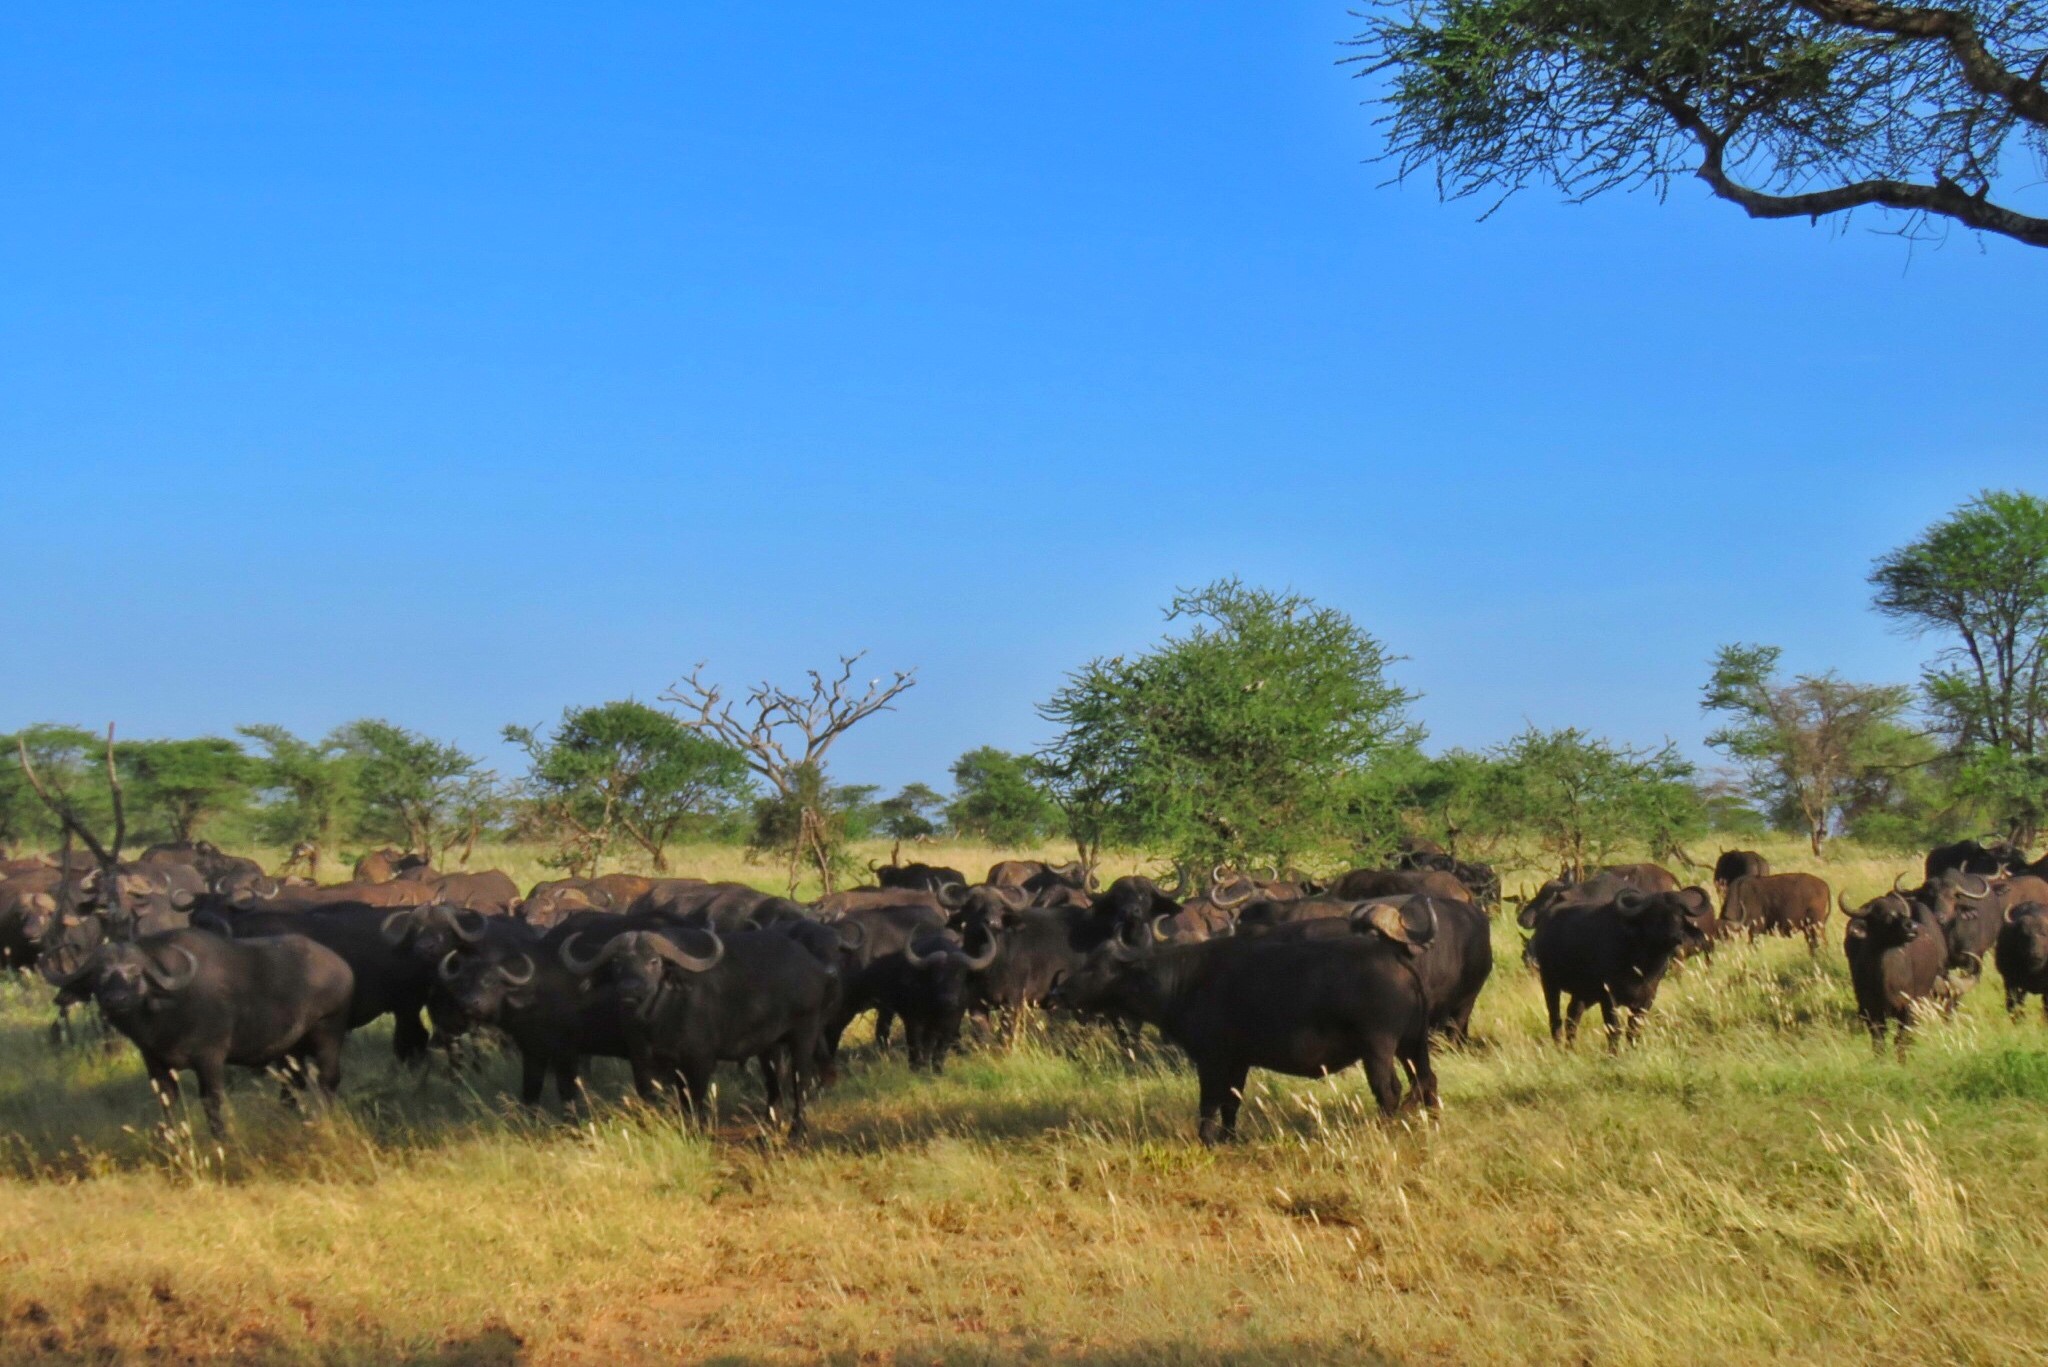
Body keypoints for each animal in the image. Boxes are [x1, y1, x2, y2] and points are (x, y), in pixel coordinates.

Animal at [41, 930, 354, 1131]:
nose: (115, 1000)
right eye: (99, 974)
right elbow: (167, 1104)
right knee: (291, 1084)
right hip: (290, 1050)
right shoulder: (156, 1063)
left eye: (135, 972)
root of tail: (342, 968)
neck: (167, 1012)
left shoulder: (209, 1059)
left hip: (328, 1032)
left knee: (328, 1080)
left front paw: (222, 1140)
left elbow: (212, 1104)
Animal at [1056, 909, 1441, 1147]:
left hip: (1379, 1048)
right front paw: (1229, 1138)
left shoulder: (1211, 1059)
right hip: (1413, 1045)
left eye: (1097, 966)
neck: (1185, 981)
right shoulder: (1238, 1060)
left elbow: (1209, 1101)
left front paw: (1206, 1139)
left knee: (1389, 1089)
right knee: (1426, 1081)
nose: (1058, 991)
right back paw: (1431, 1122)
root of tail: (1397, 957)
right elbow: (1232, 1101)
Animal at [1531, 893, 1703, 1057]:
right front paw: (1613, 1055)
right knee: (1556, 1018)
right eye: (1655, 914)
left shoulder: (1647, 998)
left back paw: (1570, 1049)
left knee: (1572, 1016)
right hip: (1549, 983)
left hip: (1581, 992)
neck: (1642, 968)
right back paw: (1560, 1048)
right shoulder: (1608, 997)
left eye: (1680, 915)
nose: (1676, 937)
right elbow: (1614, 1028)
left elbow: (1634, 1029)